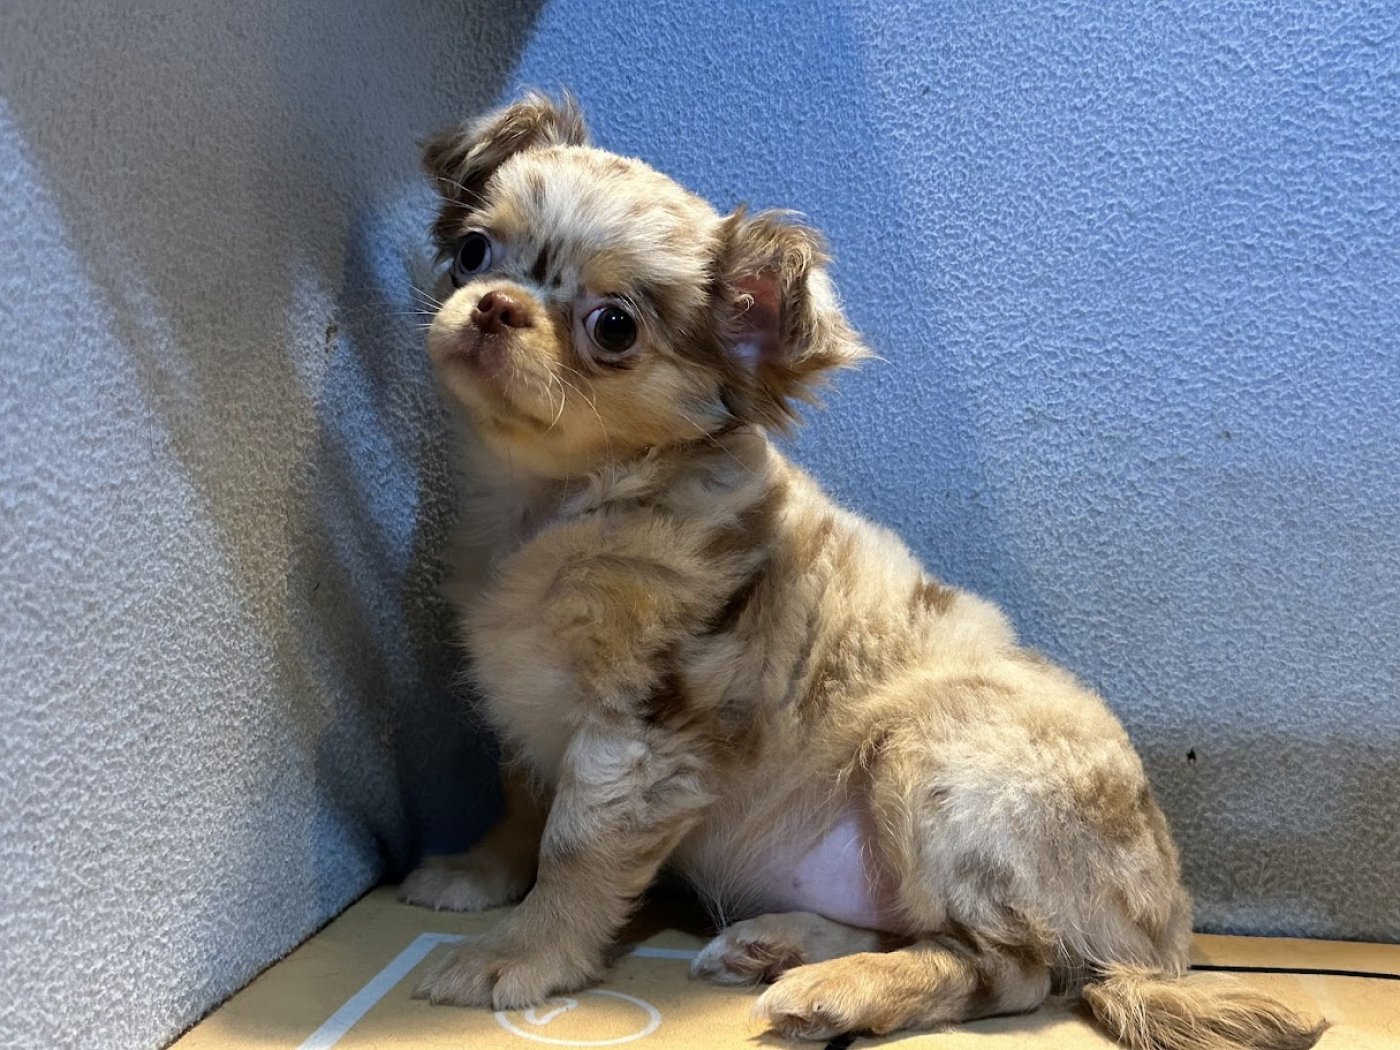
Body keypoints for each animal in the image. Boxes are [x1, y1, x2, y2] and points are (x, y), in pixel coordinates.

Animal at [399, 92, 1325, 1050]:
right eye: (474, 251)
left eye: (613, 326)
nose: (494, 306)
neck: (564, 505)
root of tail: (1161, 943)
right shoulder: (527, 707)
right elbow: (521, 802)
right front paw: (477, 872)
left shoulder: (638, 736)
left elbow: (573, 854)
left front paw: (515, 954)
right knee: (923, 928)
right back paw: (777, 944)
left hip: (932, 758)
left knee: (1005, 969)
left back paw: (838, 989)